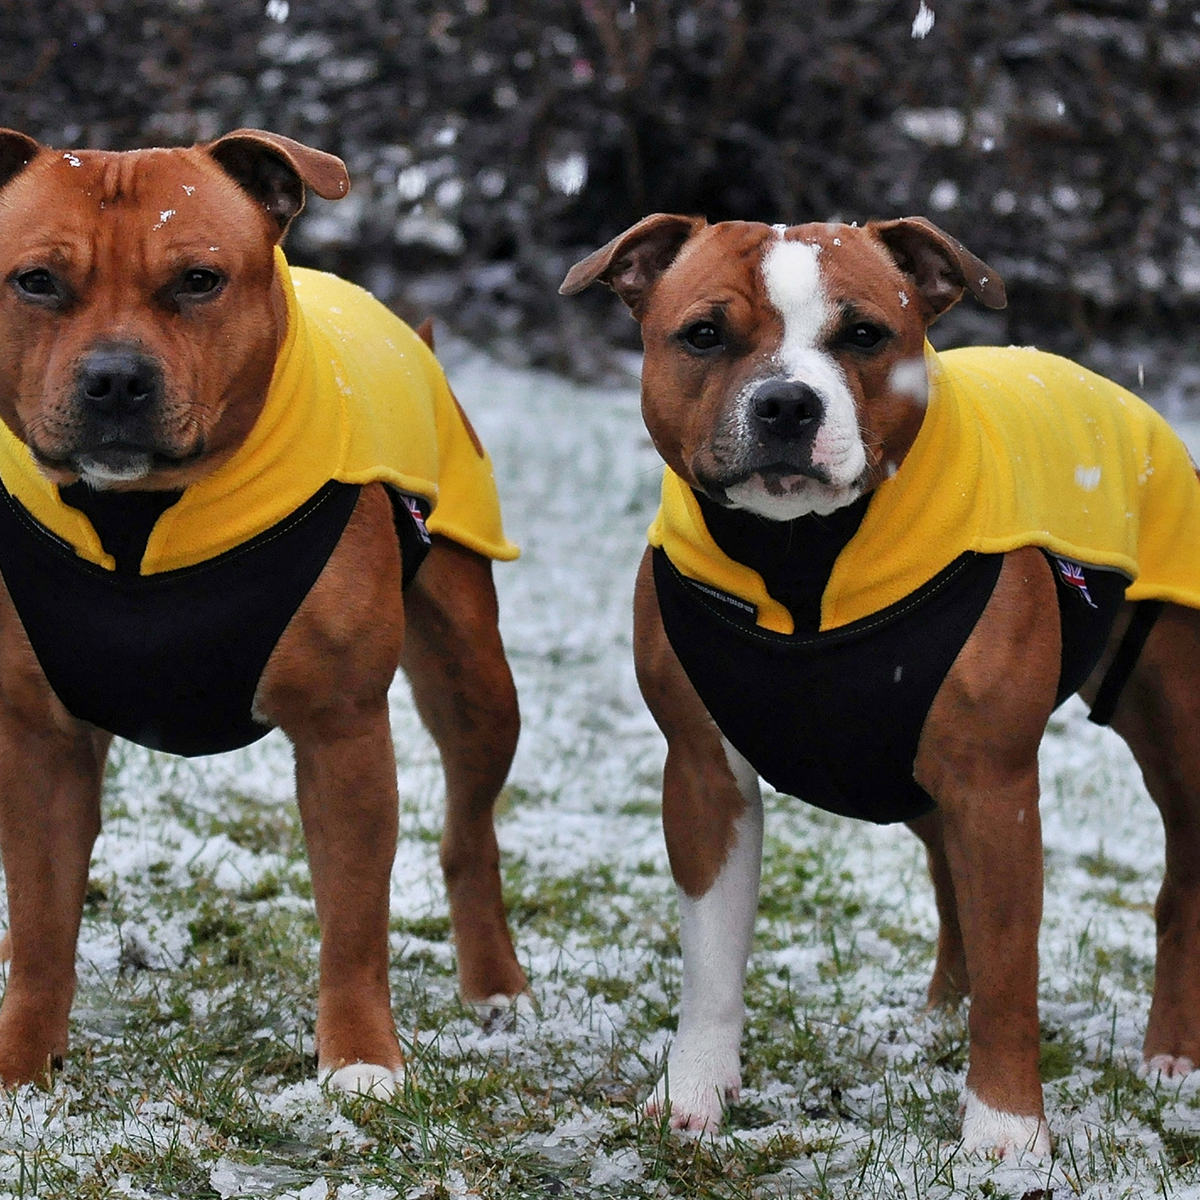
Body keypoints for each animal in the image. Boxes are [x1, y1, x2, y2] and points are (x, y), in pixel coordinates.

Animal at [0, 131, 530, 1099]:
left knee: (468, 832)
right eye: (37, 282)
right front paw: (22, 1065)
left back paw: (495, 986)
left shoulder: (342, 730)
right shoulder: (38, 738)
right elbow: (47, 912)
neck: (139, 520)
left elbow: (353, 919)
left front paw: (359, 1060)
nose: (116, 379)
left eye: (199, 280)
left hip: (475, 676)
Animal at [561, 213, 1200, 1152]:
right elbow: (711, 958)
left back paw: (1172, 1054)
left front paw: (1006, 1135)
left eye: (864, 334)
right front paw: (694, 1095)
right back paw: (941, 1018)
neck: (803, 560)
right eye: (704, 335)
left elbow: (1012, 972)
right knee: (945, 870)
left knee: (1178, 887)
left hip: (1172, 726)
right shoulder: (704, 776)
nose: (787, 403)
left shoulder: (995, 787)